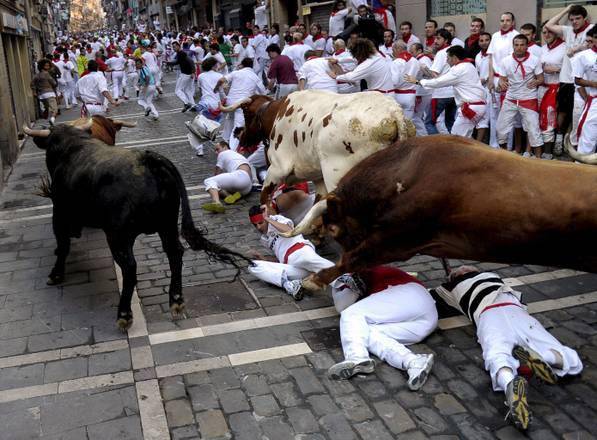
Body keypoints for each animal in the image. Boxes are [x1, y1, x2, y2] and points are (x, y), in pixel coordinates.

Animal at [30, 125, 249, 328]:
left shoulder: (59, 213)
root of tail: (148, 160)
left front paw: (56, 274)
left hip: (118, 236)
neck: (71, 145)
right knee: (175, 253)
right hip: (167, 225)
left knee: (129, 267)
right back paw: (176, 301)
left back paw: (124, 315)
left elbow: (63, 245)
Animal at [222, 90, 414, 206]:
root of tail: (393, 112)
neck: (276, 115)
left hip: (338, 174)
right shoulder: (317, 177)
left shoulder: (277, 168)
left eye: (245, 113)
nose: (240, 135)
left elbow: (264, 198)